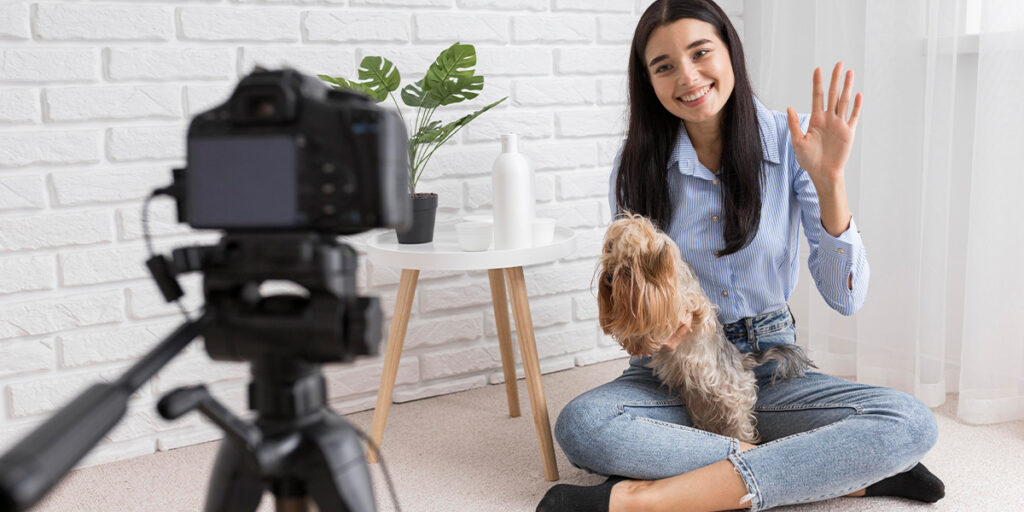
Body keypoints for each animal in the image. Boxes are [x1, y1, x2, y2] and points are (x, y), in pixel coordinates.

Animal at [598, 212, 811, 444]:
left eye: (628, 266)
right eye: (611, 258)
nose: (608, 276)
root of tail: (742, 361)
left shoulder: (685, 305)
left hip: (733, 398)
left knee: (741, 425)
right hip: (701, 403)